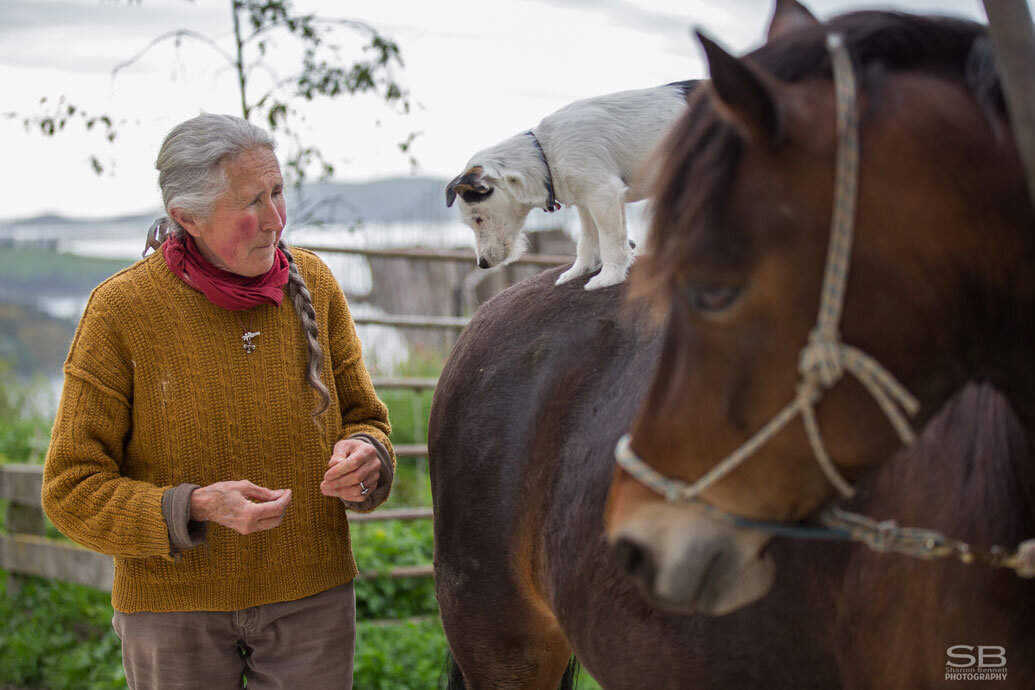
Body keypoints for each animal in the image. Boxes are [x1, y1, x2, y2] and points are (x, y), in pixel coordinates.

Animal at [445, 81, 695, 291]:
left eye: (478, 219)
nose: (482, 264)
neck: (545, 153)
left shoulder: (604, 195)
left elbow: (611, 241)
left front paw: (609, 277)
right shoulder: (586, 202)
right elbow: (587, 241)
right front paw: (578, 271)